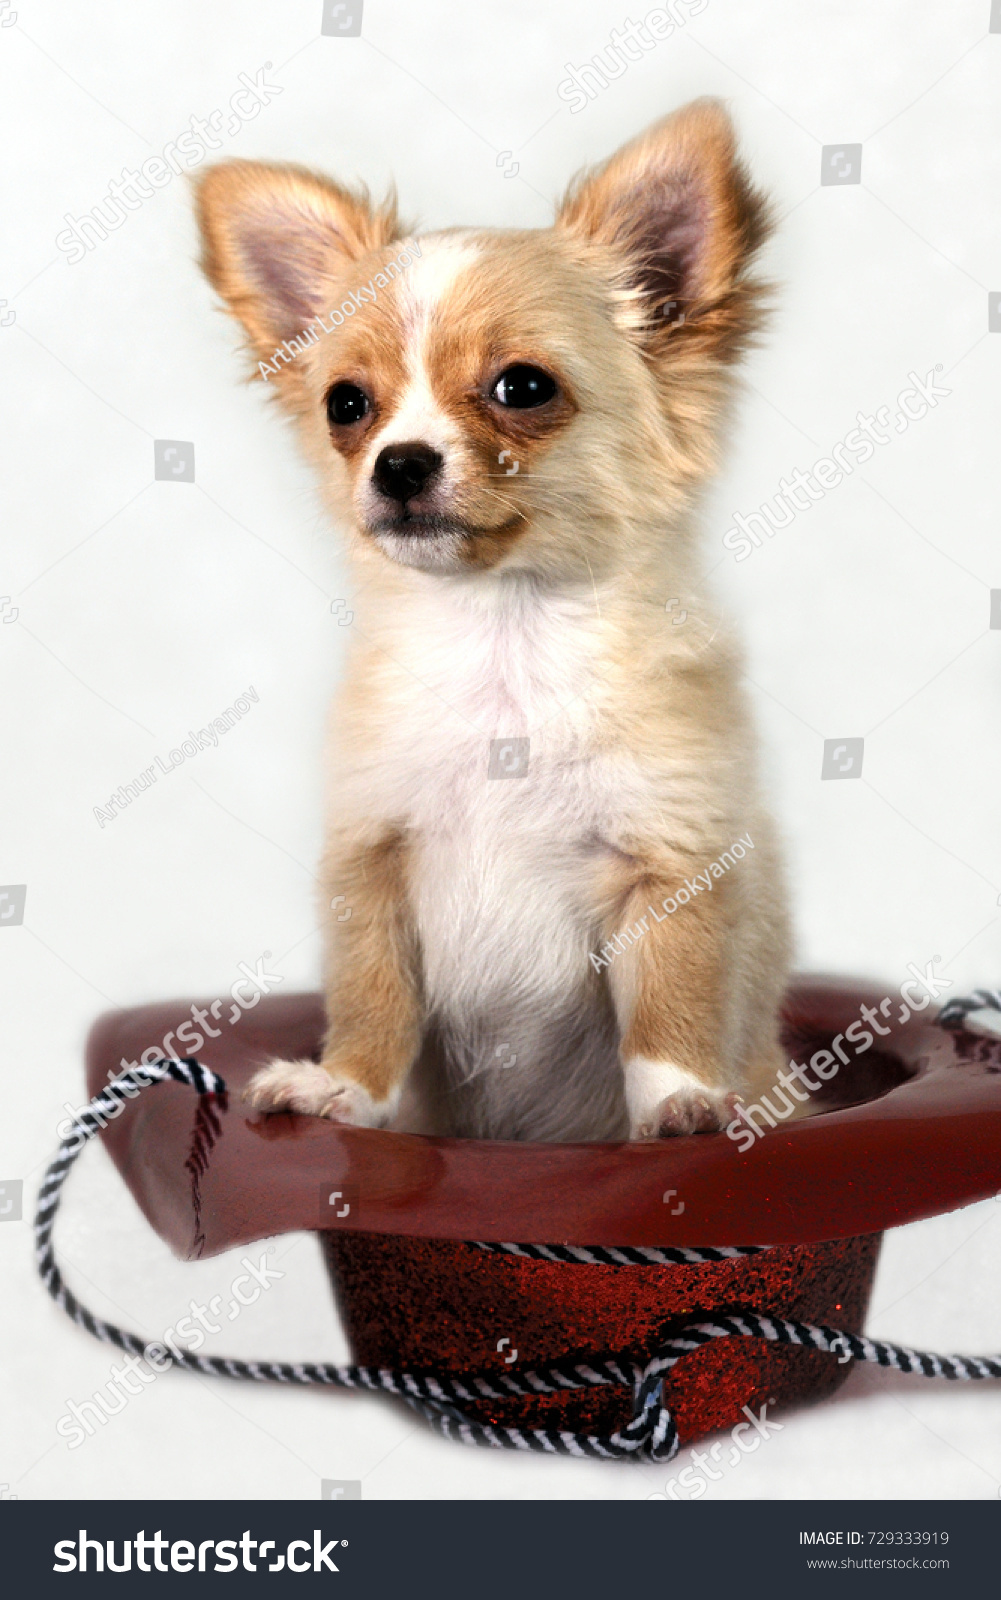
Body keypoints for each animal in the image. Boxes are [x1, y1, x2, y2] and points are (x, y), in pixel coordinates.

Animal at [192, 100, 786, 1145]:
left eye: (523, 387)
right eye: (346, 405)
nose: (398, 464)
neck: (504, 643)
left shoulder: (672, 862)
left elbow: (671, 1004)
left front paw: (679, 1105)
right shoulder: (371, 865)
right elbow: (373, 1000)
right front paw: (342, 1089)